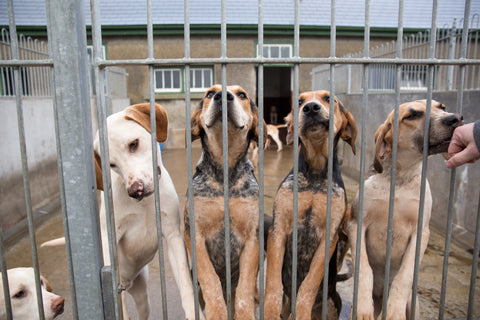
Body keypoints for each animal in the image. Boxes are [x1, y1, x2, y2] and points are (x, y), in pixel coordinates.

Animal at [346, 100, 464, 320]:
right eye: (412, 115)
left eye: (442, 107)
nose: (456, 118)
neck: (401, 176)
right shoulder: (356, 223)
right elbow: (364, 268)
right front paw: (363, 307)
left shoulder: (421, 232)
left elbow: (404, 276)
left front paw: (395, 311)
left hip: (414, 304)